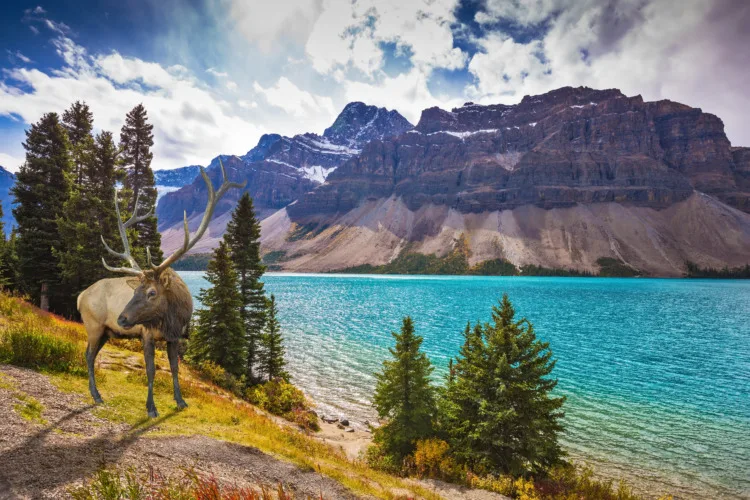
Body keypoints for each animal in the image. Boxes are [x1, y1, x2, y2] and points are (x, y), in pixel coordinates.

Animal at [78, 161, 245, 418]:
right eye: (135, 291)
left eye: (151, 293)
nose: (122, 318)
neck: (171, 317)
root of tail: (79, 297)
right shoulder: (146, 334)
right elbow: (151, 370)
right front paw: (151, 408)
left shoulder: (175, 337)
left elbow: (175, 369)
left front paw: (181, 401)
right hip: (93, 324)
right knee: (87, 354)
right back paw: (96, 395)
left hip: (106, 331)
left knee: (92, 354)